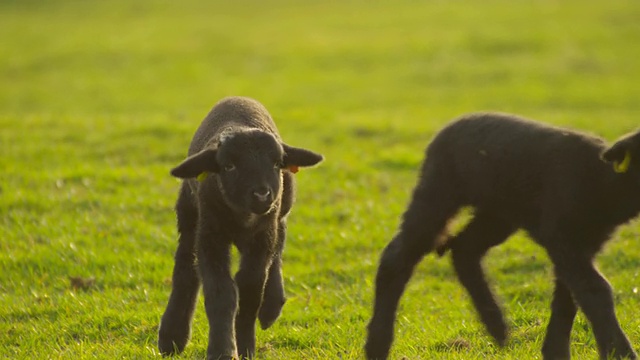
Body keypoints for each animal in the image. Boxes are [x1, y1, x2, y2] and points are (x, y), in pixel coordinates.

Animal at [158, 96, 322, 360]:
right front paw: (222, 350)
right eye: (229, 166)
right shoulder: (211, 237)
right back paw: (172, 336)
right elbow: (222, 292)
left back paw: (271, 308)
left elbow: (250, 289)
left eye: (277, 164)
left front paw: (245, 346)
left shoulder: (262, 235)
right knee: (185, 265)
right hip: (189, 213)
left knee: (278, 247)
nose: (262, 194)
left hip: (281, 211)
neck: (243, 216)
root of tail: (238, 99)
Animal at [364, 112, 640, 360]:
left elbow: (569, 296)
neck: (602, 180)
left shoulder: (584, 242)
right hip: (438, 191)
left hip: (496, 213)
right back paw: (377, 346)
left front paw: (557, 352)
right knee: (397, 257)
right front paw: (621, 353)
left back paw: (497, 326)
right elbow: (595, 289)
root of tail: (447, 128)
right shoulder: (562, 235)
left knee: (464, 249)